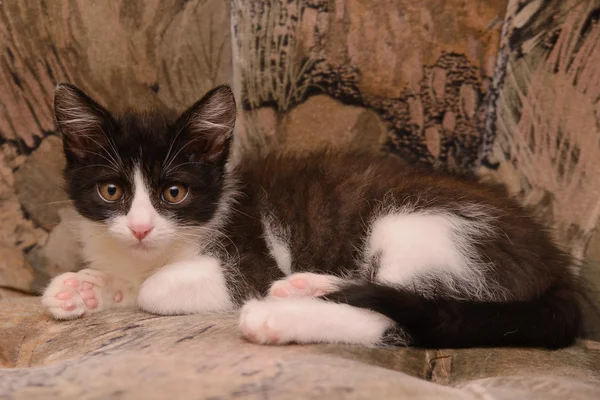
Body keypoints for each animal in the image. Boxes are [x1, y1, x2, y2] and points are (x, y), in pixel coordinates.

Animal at [41, 83, 580, 348]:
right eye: (111, 190)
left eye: (174, 193)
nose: (140, 227)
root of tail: (555, 267)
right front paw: (88, 286)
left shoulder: (251, 255)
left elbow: (161, 288)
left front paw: (132, 286)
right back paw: (308, 287)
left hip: (421, 225)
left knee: (399, 317)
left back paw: (278, 316)